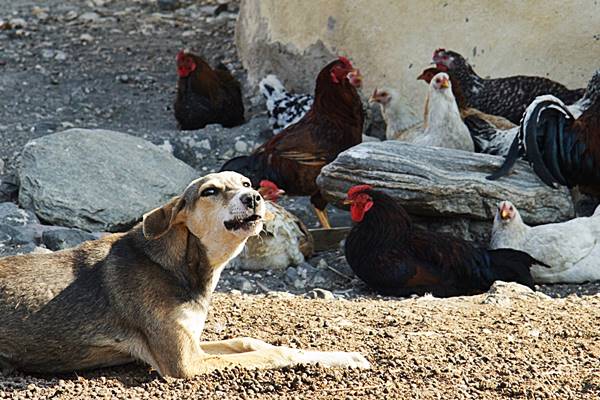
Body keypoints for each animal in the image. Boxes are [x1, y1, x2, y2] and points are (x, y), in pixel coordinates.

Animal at [0, 173, 370, 378]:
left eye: (246, 183)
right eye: (210, 191)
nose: (254, 197)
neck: (177, 266)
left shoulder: (193, 342)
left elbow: (250, 341)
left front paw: (346, 357)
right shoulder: (185, 363)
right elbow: (277, 353)